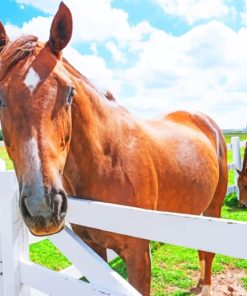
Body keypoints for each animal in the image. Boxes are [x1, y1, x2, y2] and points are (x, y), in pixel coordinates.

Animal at [0, 2, 228, 296]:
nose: (43, 208)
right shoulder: (94, 249)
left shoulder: (138, 254)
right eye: (0, 98)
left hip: (214, 207)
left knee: (208, 253)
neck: (108, 161)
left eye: (69, 92)